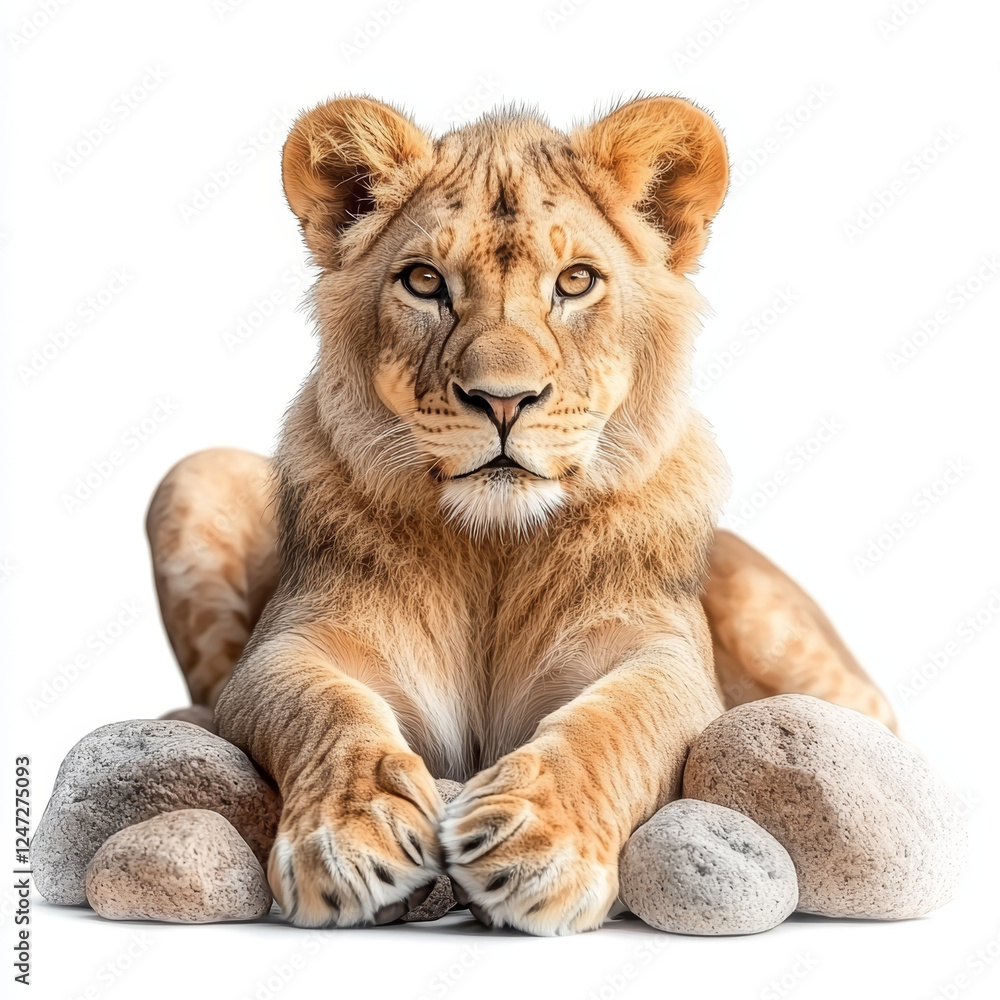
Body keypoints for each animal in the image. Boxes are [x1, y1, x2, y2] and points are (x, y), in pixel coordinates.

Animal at [145, 95, 896, 935]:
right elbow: (326, 710)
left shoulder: (667, 658)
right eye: (424, 281)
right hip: (193, 475)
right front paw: (348, 841)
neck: (495, 549)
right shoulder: (285, 646)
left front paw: (534, 844)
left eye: (575, 281)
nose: (502, 400)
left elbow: (615, 722)